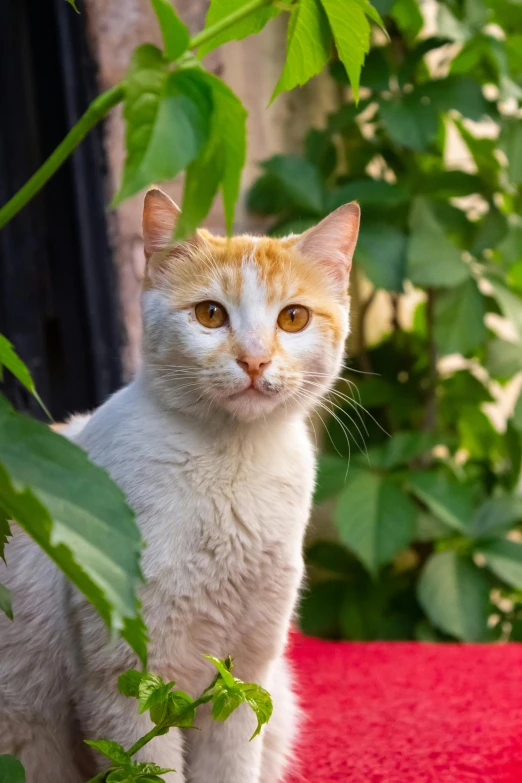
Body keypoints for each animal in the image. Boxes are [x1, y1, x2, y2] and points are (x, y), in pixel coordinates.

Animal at [0, 187, 358, 780]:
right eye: (210, 314)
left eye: (294, 317)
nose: (255, 360)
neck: (233, 468)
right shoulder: (125, 683)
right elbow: (147, 764)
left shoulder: (242, 682)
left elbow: (232, 769)